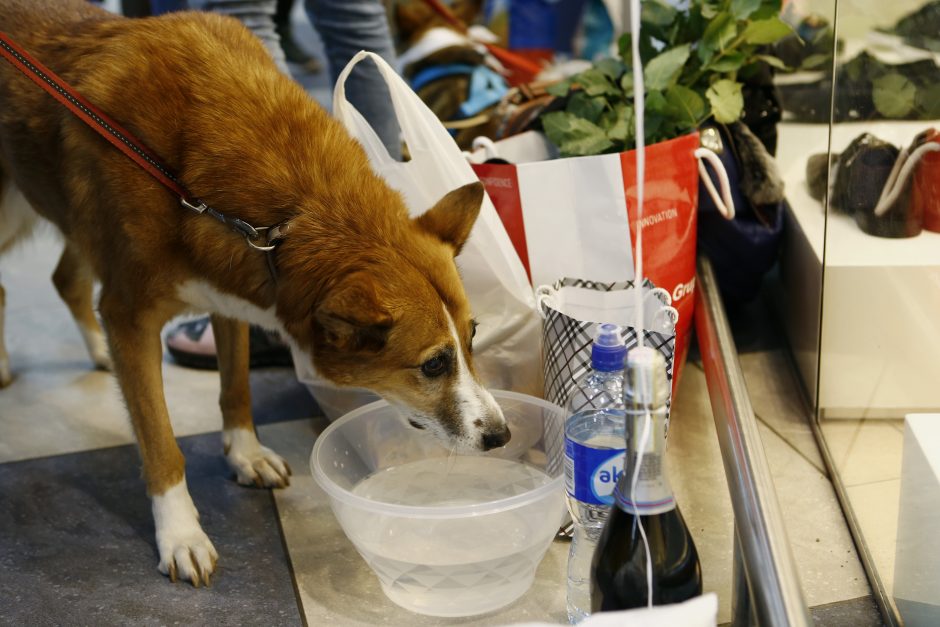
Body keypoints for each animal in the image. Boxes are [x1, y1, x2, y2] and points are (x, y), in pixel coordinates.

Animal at [0, 1, 510, 588]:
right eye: (432, 365)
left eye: (473, 338)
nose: (502, 437)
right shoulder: (129, 314)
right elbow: (160, 441)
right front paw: (181, 535)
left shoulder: (232, 290)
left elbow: (236, 386)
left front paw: (245, 454)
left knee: (66, 278)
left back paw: (98, 351)